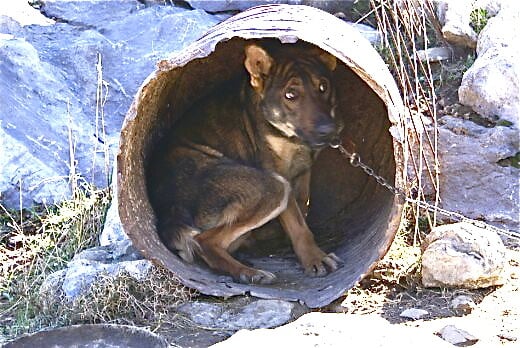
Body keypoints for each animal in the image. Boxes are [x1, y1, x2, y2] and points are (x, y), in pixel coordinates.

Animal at [147, 41, 342, 286]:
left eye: (323, 87)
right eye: (290, 94)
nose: (330, 131)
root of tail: (167, 211)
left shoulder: (303, 171)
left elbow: (303, 209)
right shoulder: (278, 174)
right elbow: (298, 224)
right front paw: (315, 258)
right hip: (271, 187)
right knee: (204, 241)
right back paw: (248, 272)